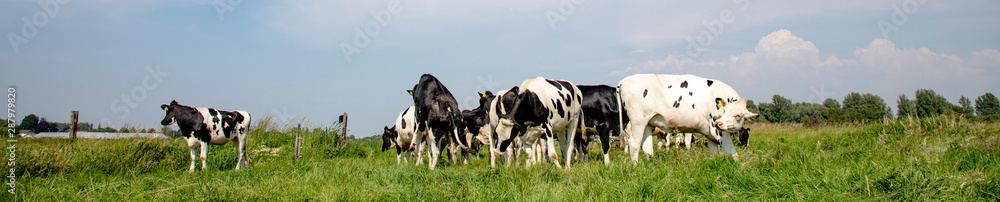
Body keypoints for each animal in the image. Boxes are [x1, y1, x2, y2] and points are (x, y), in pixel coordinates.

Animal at [616, 73, 756, 163]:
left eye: (738, 115)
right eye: (725, 111)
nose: (719, 124)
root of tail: (623, 81)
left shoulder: (710, 135)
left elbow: (713, 153)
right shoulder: (718, 132)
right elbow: (733, 153)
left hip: (648, 123)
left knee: (647, 146)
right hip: (638, 121)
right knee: (634, 144)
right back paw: (635, 167)